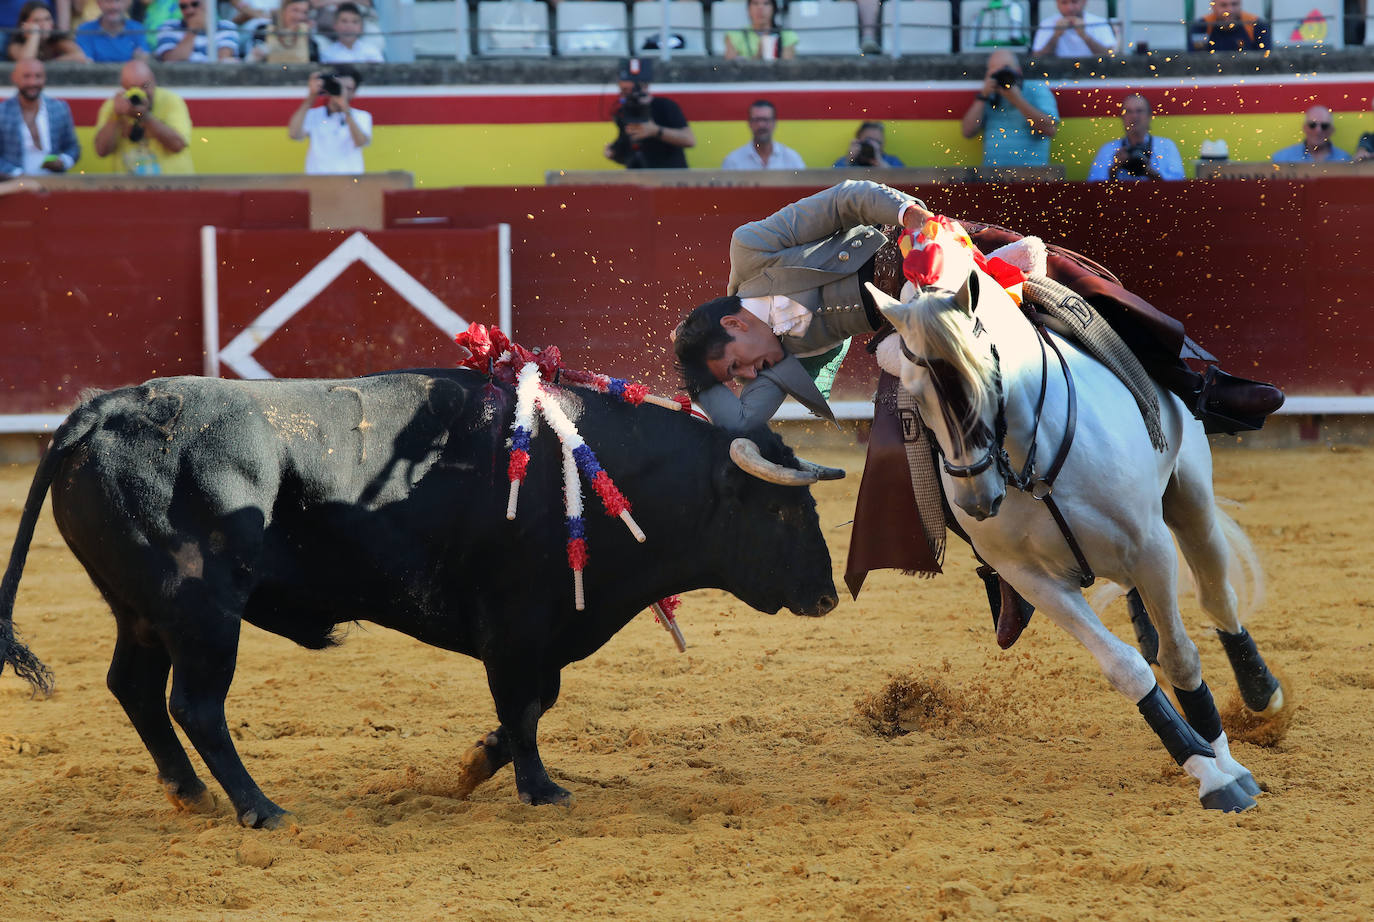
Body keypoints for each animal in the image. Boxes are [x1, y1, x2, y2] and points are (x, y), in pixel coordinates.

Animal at [0, 370, 835, 824]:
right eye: (786, 510)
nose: (828, 594)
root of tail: (109, 407)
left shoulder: (540, 633)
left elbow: (533, 703)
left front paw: (475, 767)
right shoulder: (517, 624)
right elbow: (524, 705)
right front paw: (540, 789)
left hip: (142, 611)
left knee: (135, 689)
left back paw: (191, 793)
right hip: (202, 609)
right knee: (196, 705)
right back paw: (259, 808)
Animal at [873, 261, 1280, 813]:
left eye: (987, 376)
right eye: (914, 391)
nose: (976, 498)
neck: (1032, 464)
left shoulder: (1150, 546)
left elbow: (1180, 656)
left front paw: (1228, 767)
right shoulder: (1030, 577)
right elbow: (1126, 668)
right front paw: (1205, 772)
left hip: (1191, 496)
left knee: (1217, 599)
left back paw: (1262, 693)